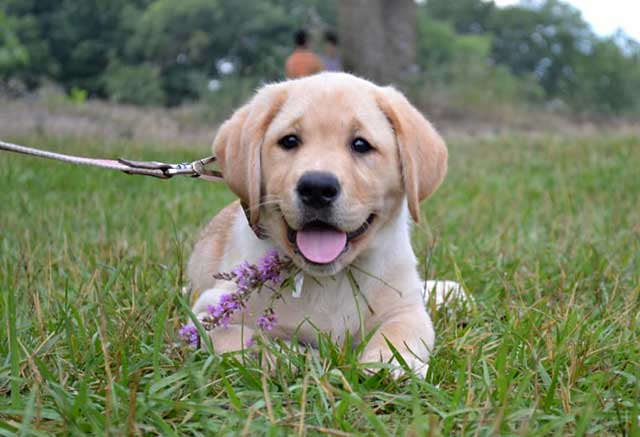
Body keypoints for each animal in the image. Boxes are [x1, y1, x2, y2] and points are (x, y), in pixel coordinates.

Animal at [188, 71, 448, 374]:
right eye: (289, 141)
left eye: (361, 145)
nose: (316, 187)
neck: (330, 280)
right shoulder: (208, 313)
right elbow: (245, 342)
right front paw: (300, 355)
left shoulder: (407, 310)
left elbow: (397, 336)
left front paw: (387, 367)